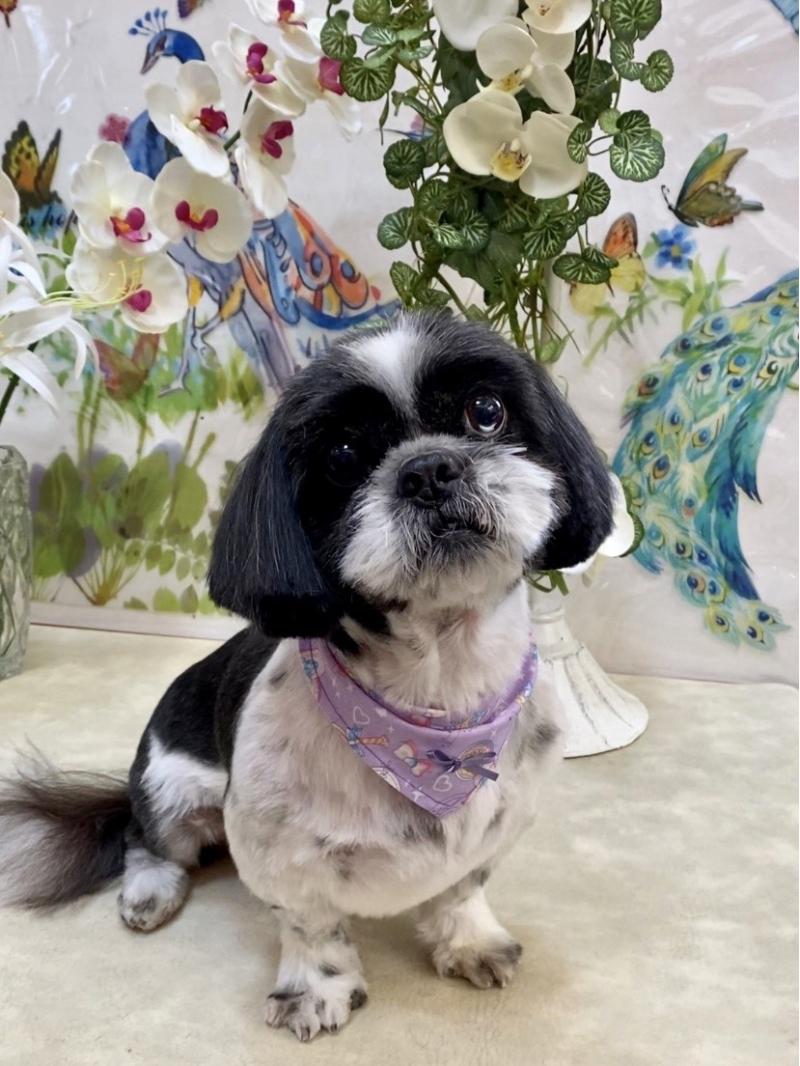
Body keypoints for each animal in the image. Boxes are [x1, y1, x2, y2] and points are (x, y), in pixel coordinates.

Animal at [0, 312, 613, 1041]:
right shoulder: (278, 853)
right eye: (343, 453)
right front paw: (318, 990)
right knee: (145, 837)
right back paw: (152, 887)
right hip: (168, 786)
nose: (429, 469)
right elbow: (312, 926)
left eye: (486, 411)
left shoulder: (500, 824)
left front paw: (468, 940)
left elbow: (462, 889)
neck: (439, 700)